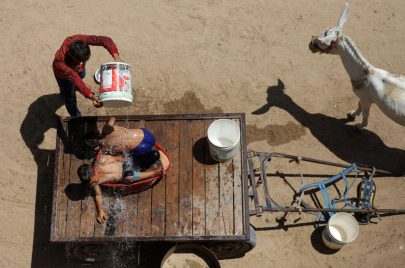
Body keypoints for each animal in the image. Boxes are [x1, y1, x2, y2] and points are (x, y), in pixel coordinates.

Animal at [308, 2, 404, 130]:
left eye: (322, 42)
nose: (310, 45)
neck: (366, 74)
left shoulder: (366, 99)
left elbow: (365, 114)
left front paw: (359, 126)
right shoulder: (363, 98)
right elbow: (359, 105)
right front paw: (352, 114)